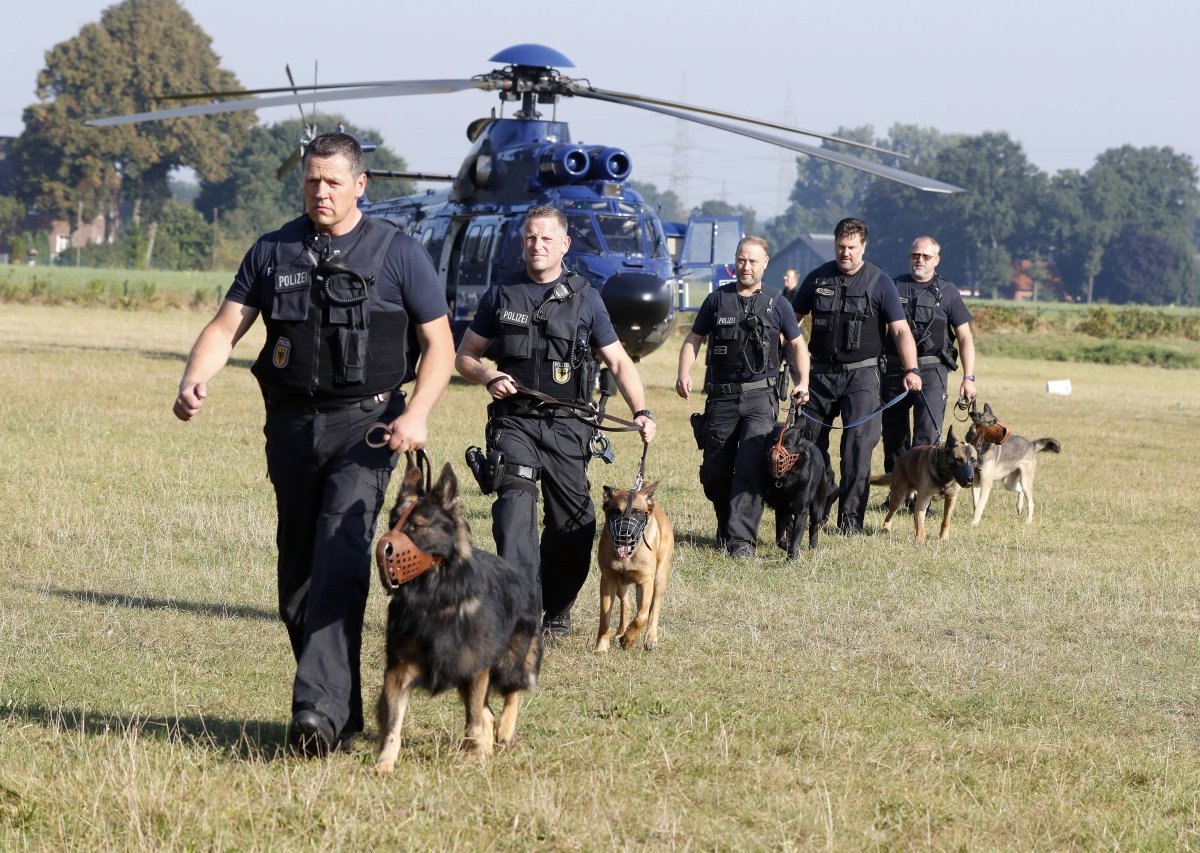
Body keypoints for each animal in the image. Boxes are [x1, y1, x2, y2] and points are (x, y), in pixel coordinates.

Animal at [374, 460, 544, 772]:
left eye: (415, 527)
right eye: (392, 522)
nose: (384, 549)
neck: (434, 596)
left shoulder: (475, 666)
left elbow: (474, 721)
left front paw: (476, 754)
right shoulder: (399, 670)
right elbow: (393, 723)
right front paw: (385, 764)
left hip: (508, 662)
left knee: (511, 693)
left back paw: (504, 732)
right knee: (488, 712)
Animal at [592, 484, 676, 652]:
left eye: (637, 511)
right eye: (615, 511)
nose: (624, 534)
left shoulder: (645, 582)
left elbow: (642, 616)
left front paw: (628, 640)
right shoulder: (608, 581)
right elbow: (604, 618)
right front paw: (602, 646)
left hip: (659, 577)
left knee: (653, 608)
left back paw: (650, 638)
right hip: (620, 584)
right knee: (627, 604)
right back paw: (621, 632)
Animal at [763, 422, 840, 556]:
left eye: (788, 444)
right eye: (773, 441)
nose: (774, 458)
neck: (789, 478)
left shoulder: (802, 511)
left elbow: (796, 538)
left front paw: (792, 555)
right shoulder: (781, 509)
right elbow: (779, 538)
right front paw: (787, 546)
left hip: (817, 506)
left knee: (814, 526)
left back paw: (813, 548)